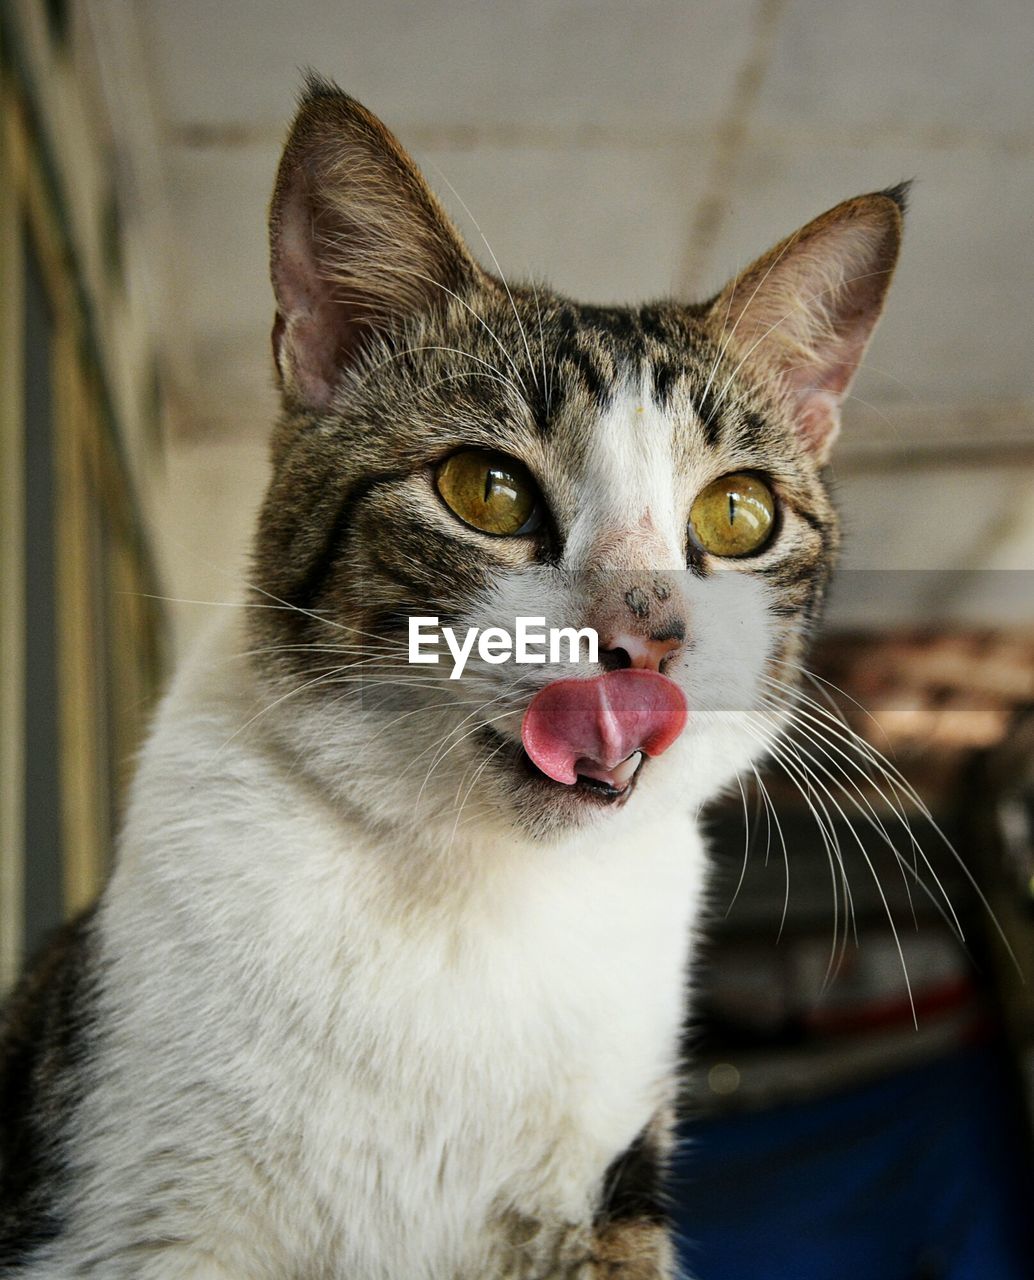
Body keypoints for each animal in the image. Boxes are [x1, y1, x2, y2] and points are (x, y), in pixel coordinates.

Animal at [0, 80, 906, 1280]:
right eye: (486, 489)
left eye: (738, 513)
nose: (647, 633)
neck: (473, 896)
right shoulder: (140, 1200)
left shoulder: (608, 1187)